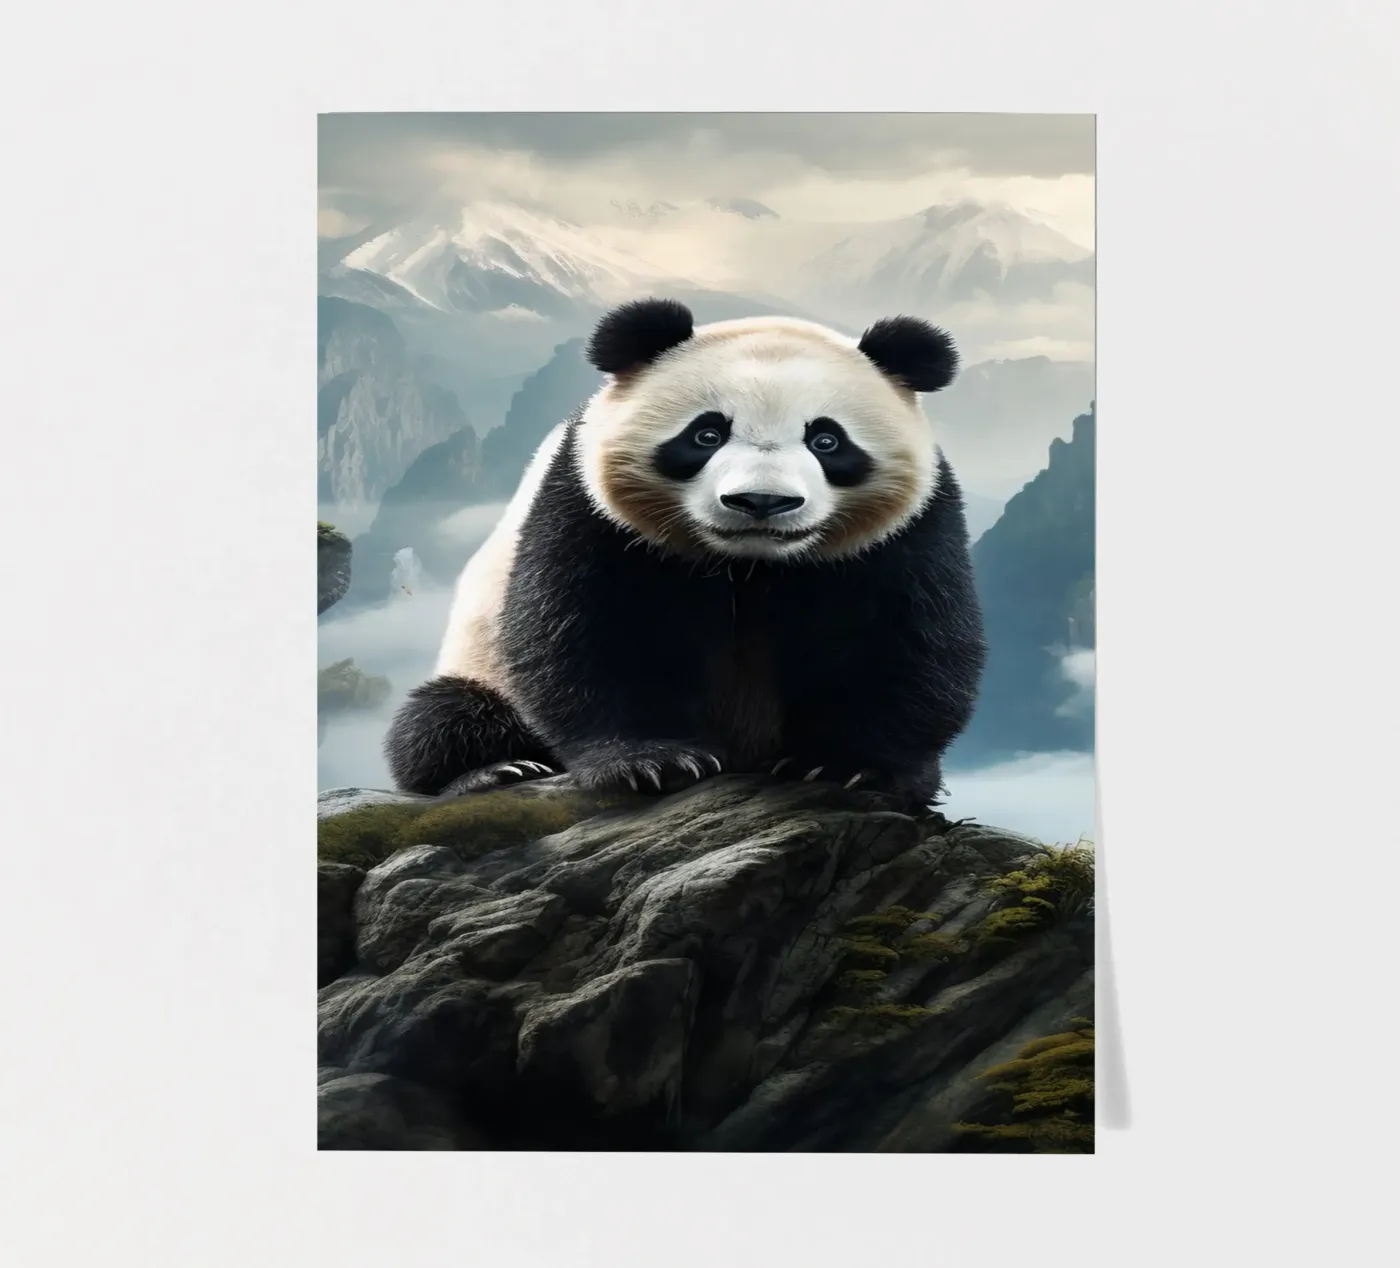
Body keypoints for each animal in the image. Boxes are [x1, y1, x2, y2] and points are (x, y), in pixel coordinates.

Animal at [384, 298, 986, 807]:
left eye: (826, 441)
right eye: (706, 435)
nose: (761, 501)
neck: (748, 564)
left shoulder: (908, 529)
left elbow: (907, 637)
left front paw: (845, 766)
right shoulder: (590, 508)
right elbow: (588, 628)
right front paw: (652, 762)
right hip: (482, 667)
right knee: (443, 717)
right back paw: (493, 770)